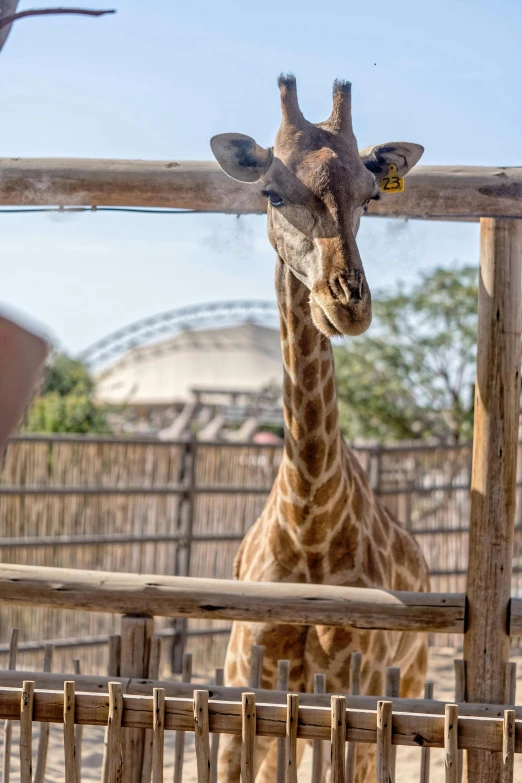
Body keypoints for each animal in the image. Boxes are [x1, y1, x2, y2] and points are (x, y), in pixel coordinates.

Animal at [209, 75, 428, 783]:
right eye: (272, 193)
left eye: (370, 196)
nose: (347, 303)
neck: (308, 521)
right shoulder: (245, 683)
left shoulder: (355, 689)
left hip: (407, 682)